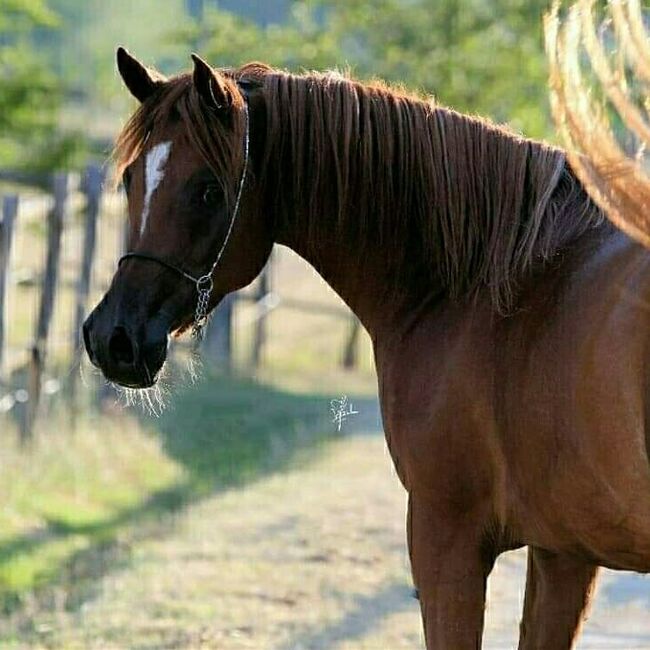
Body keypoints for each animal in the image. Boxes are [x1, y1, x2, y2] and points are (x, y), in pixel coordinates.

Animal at [83, 48, 648, 644]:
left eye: (208, 189)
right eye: (129, 179)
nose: (113, 337)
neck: (497, 283)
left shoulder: (448, 538)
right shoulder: (563, 552)